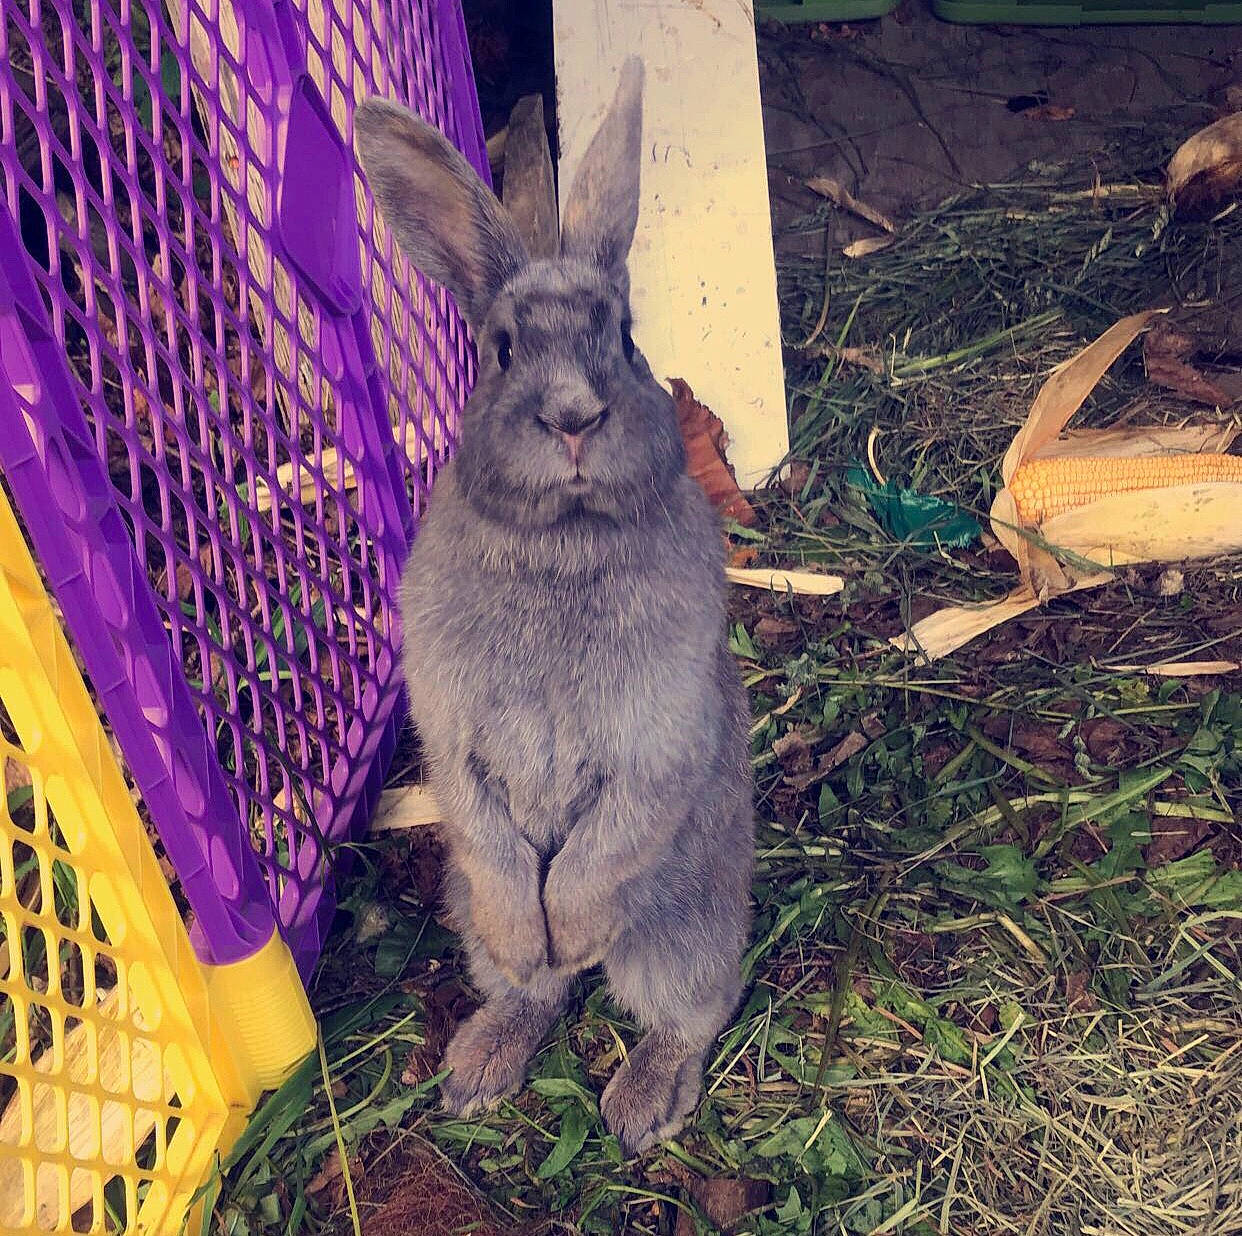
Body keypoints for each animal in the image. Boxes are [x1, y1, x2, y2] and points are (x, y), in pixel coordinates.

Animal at [355, 57, 754, 1155]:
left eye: (624, 337)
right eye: (497, 349)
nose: (574, 419)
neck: (561, 541)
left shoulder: (656, 743)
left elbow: (599, 851)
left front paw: (568, 929)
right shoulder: (453, 740)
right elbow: (492, 841)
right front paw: (538, 937)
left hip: (682, 929)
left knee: (694, 1009)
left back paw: (638, 1102)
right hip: (475, 921)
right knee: (532, 990)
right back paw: (482, 1063)